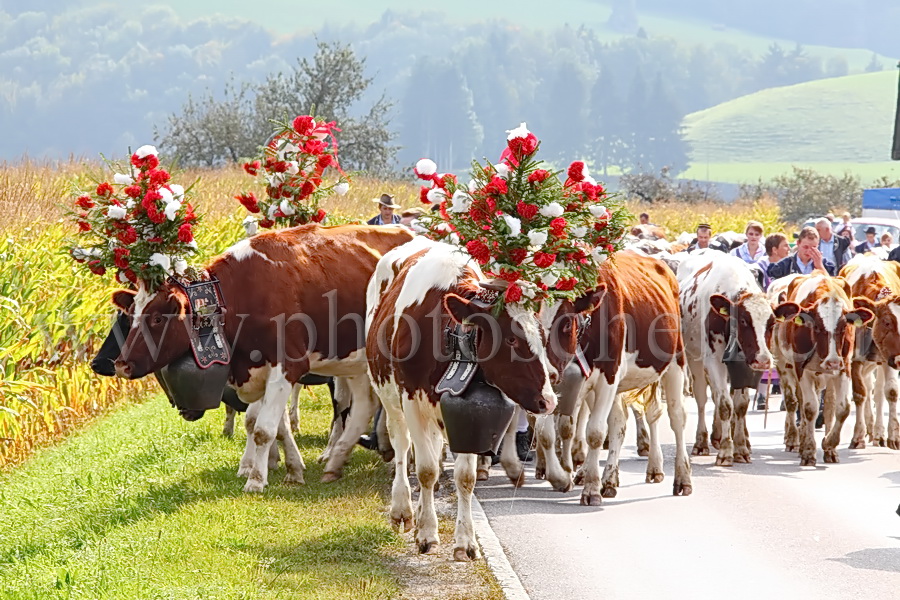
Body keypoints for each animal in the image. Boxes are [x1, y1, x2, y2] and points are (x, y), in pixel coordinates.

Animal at [110, 223, 414, 490]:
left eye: (158, 318)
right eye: (131, 315)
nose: (122, 365)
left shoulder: (288, 365)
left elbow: (263, 429)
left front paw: (256, 480)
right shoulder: (259, 369)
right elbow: (268, 425)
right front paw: (291, 468)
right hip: (353, 362)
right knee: (363, 405)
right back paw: (337, 460)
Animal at [368, 237, 596, 560]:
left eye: (542, 336)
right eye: (511, 339)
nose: (549, 401)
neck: (452, 338)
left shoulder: (467, 417)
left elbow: (465, 476)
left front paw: (464, 541)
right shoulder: (411, 400)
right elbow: (425, 470)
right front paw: (427, 534)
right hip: (389, 396)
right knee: (401, 445)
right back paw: (403, 511)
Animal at [680, 251, 776, 462]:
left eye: (772, 323)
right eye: (743, 320)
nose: (763, 360)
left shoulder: (744, 364)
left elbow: (740, 405)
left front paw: (740, 447)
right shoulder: (713, 360)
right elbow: (725, 404)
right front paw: (725, 449)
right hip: (694, 359)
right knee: (702, 398)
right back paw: (702, 442)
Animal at [768, 274, 872, 466]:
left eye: (844, 327)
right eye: (816, 326)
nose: (832, 362)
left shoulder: (844, 368)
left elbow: (842, 409)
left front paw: (829, 445)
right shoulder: (802, 370)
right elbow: (810, 408)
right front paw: (808, 451)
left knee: (829, 405)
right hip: (784, 366)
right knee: (793, 402)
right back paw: (794, 440)